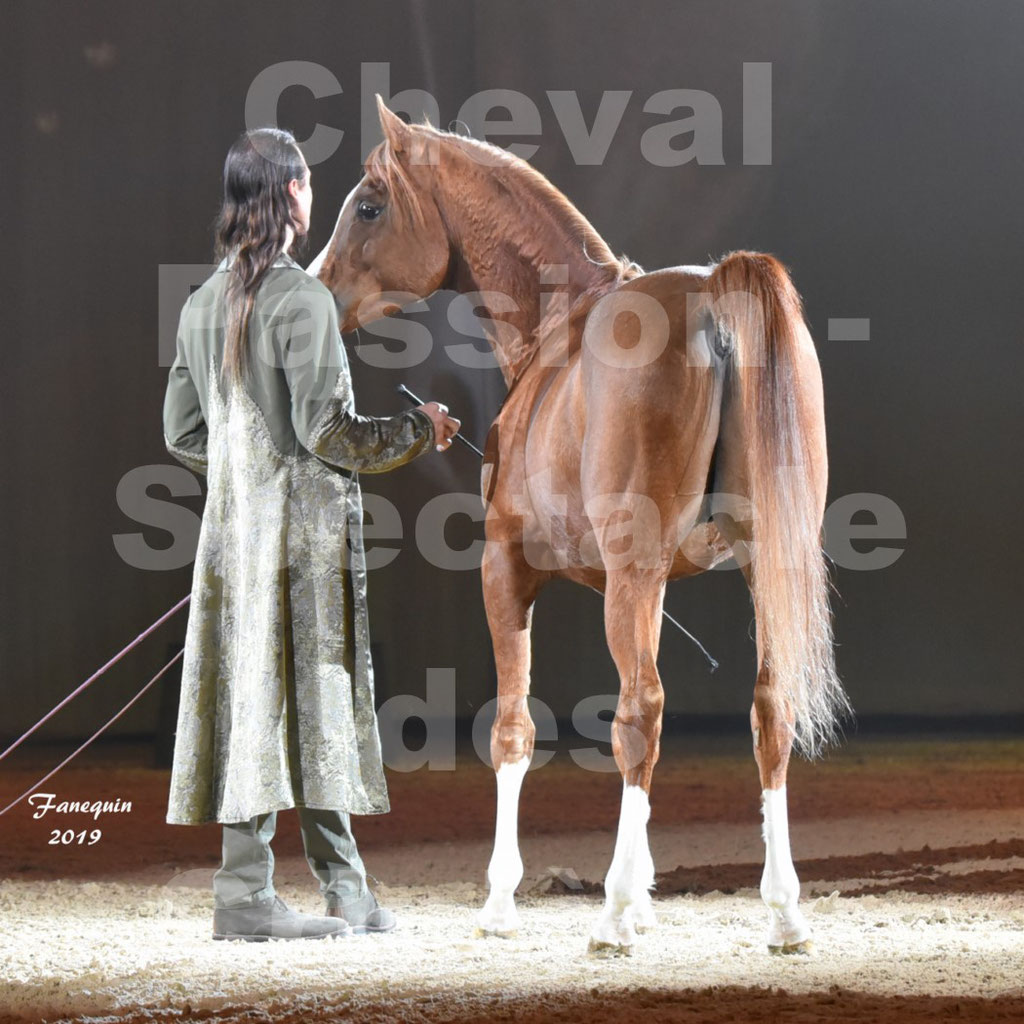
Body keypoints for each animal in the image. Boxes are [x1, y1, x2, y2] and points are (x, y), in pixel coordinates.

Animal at [309, 99, 847, 954]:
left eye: (369, 205)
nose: (315, 292)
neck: (556, 326)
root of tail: (711, 293)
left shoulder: (508, 572)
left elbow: (513, 728)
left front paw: (502, 902)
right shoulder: (655, 584)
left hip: (632, 575)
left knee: (640, 715)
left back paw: (614, 914)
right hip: (761, 566)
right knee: (770, 709)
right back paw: (784, 912)